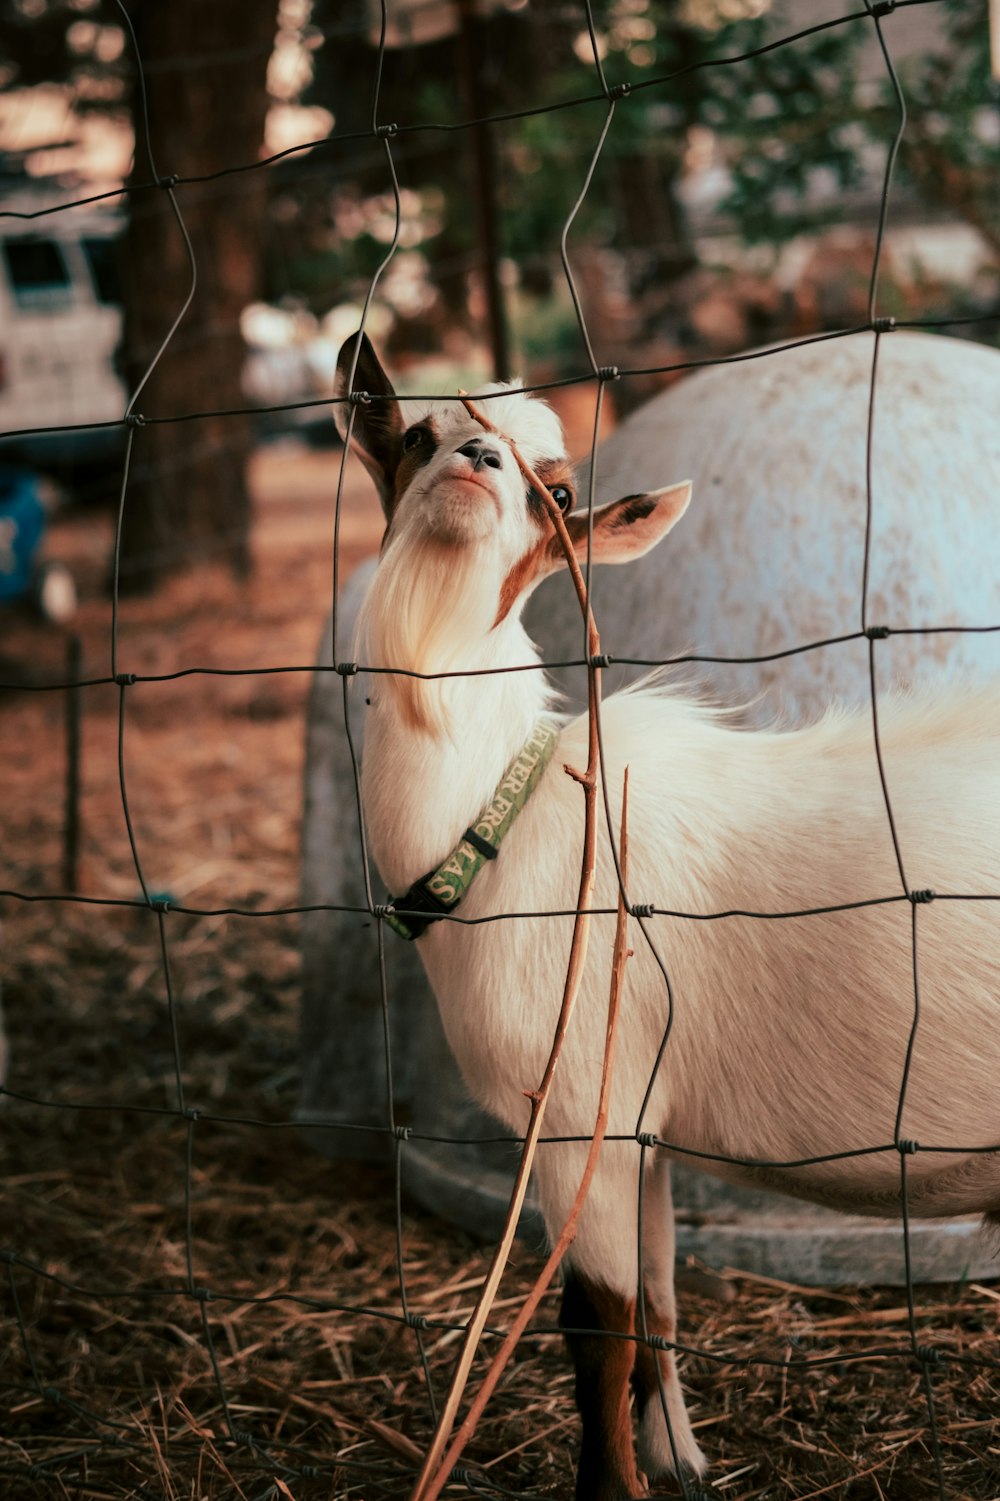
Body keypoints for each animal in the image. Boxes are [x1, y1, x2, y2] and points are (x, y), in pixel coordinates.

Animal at [333, 334, 996, 1494]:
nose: (475, 461)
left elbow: (596, 1323)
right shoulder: (639, 1125)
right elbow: (656, 1302)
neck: (511, 815)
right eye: (414, 435)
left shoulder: (575, 1110)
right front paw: (679, 1457)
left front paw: (617, 1479)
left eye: (558, 493)